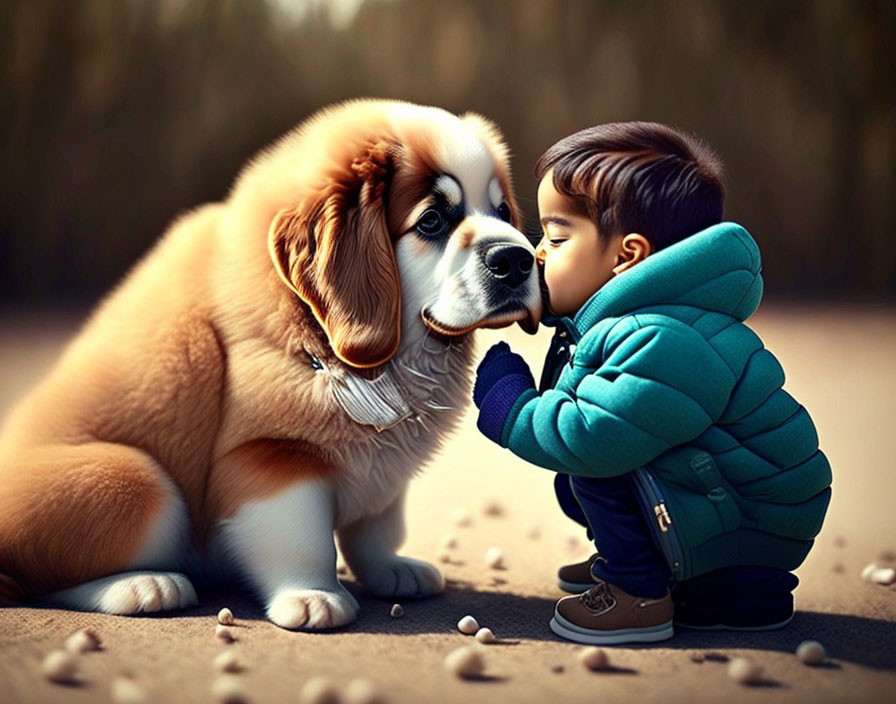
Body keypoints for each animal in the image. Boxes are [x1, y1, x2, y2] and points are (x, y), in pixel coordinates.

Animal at [0, 97, 540, 628]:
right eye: (432, 221)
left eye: (502, 211)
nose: (517, 259)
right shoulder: (272, 455)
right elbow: (301, 537)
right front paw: (313, 595)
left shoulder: (386, 469)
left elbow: (378, 525)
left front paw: (390, 569)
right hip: (136, 481)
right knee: (36, 579)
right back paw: (142, 585)